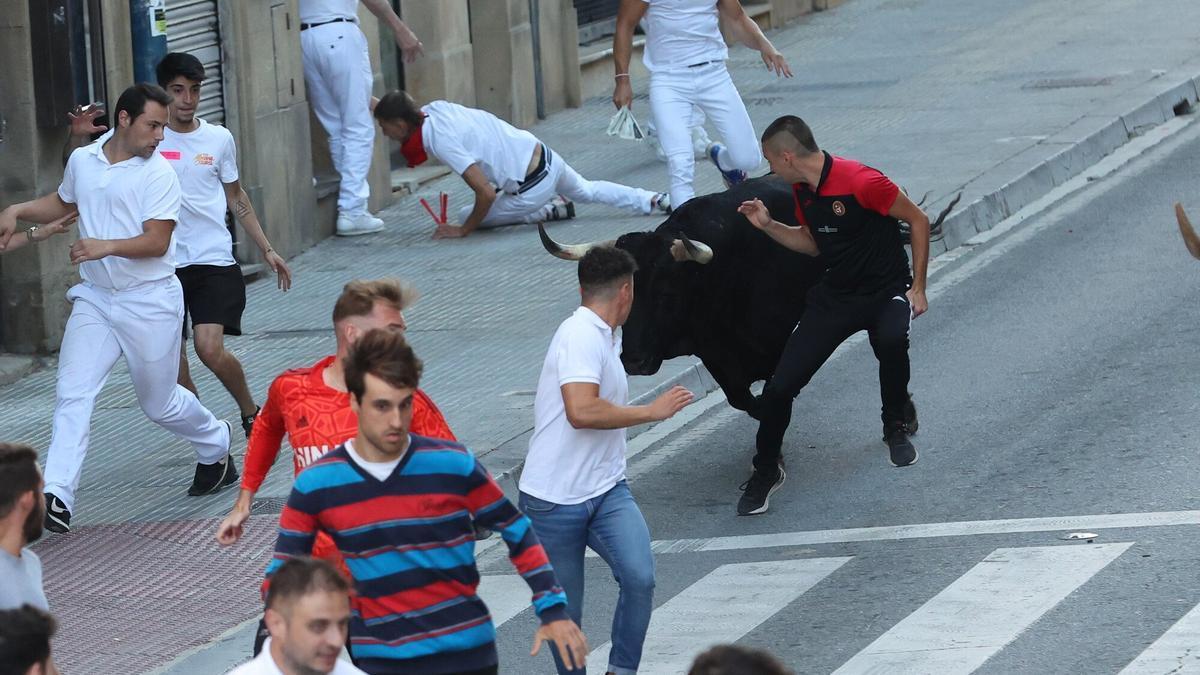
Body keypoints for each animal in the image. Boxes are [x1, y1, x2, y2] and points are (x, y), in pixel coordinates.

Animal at [544, 176, 955, 413]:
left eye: (665, 292)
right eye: (628, 298)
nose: (634, 360)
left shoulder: (778, 344)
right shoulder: (715, 354)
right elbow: (742, 399)